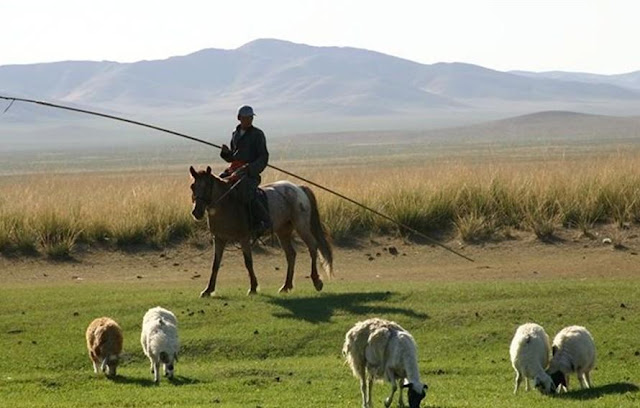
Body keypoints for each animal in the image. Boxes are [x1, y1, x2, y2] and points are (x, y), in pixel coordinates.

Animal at [188, 166, 332, 296]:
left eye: (207, 185)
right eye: (193, 186)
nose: (196, 212)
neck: (226, 204)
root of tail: (298, 188)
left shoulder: (244, 238)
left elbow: (248, 262)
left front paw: (253, 288)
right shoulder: (219, 239)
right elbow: (215, 264)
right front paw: (208, 290)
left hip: (301, 226)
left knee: (312, 246)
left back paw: (316, 281)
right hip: (283, 231)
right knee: (291, 254)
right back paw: (286, 286)